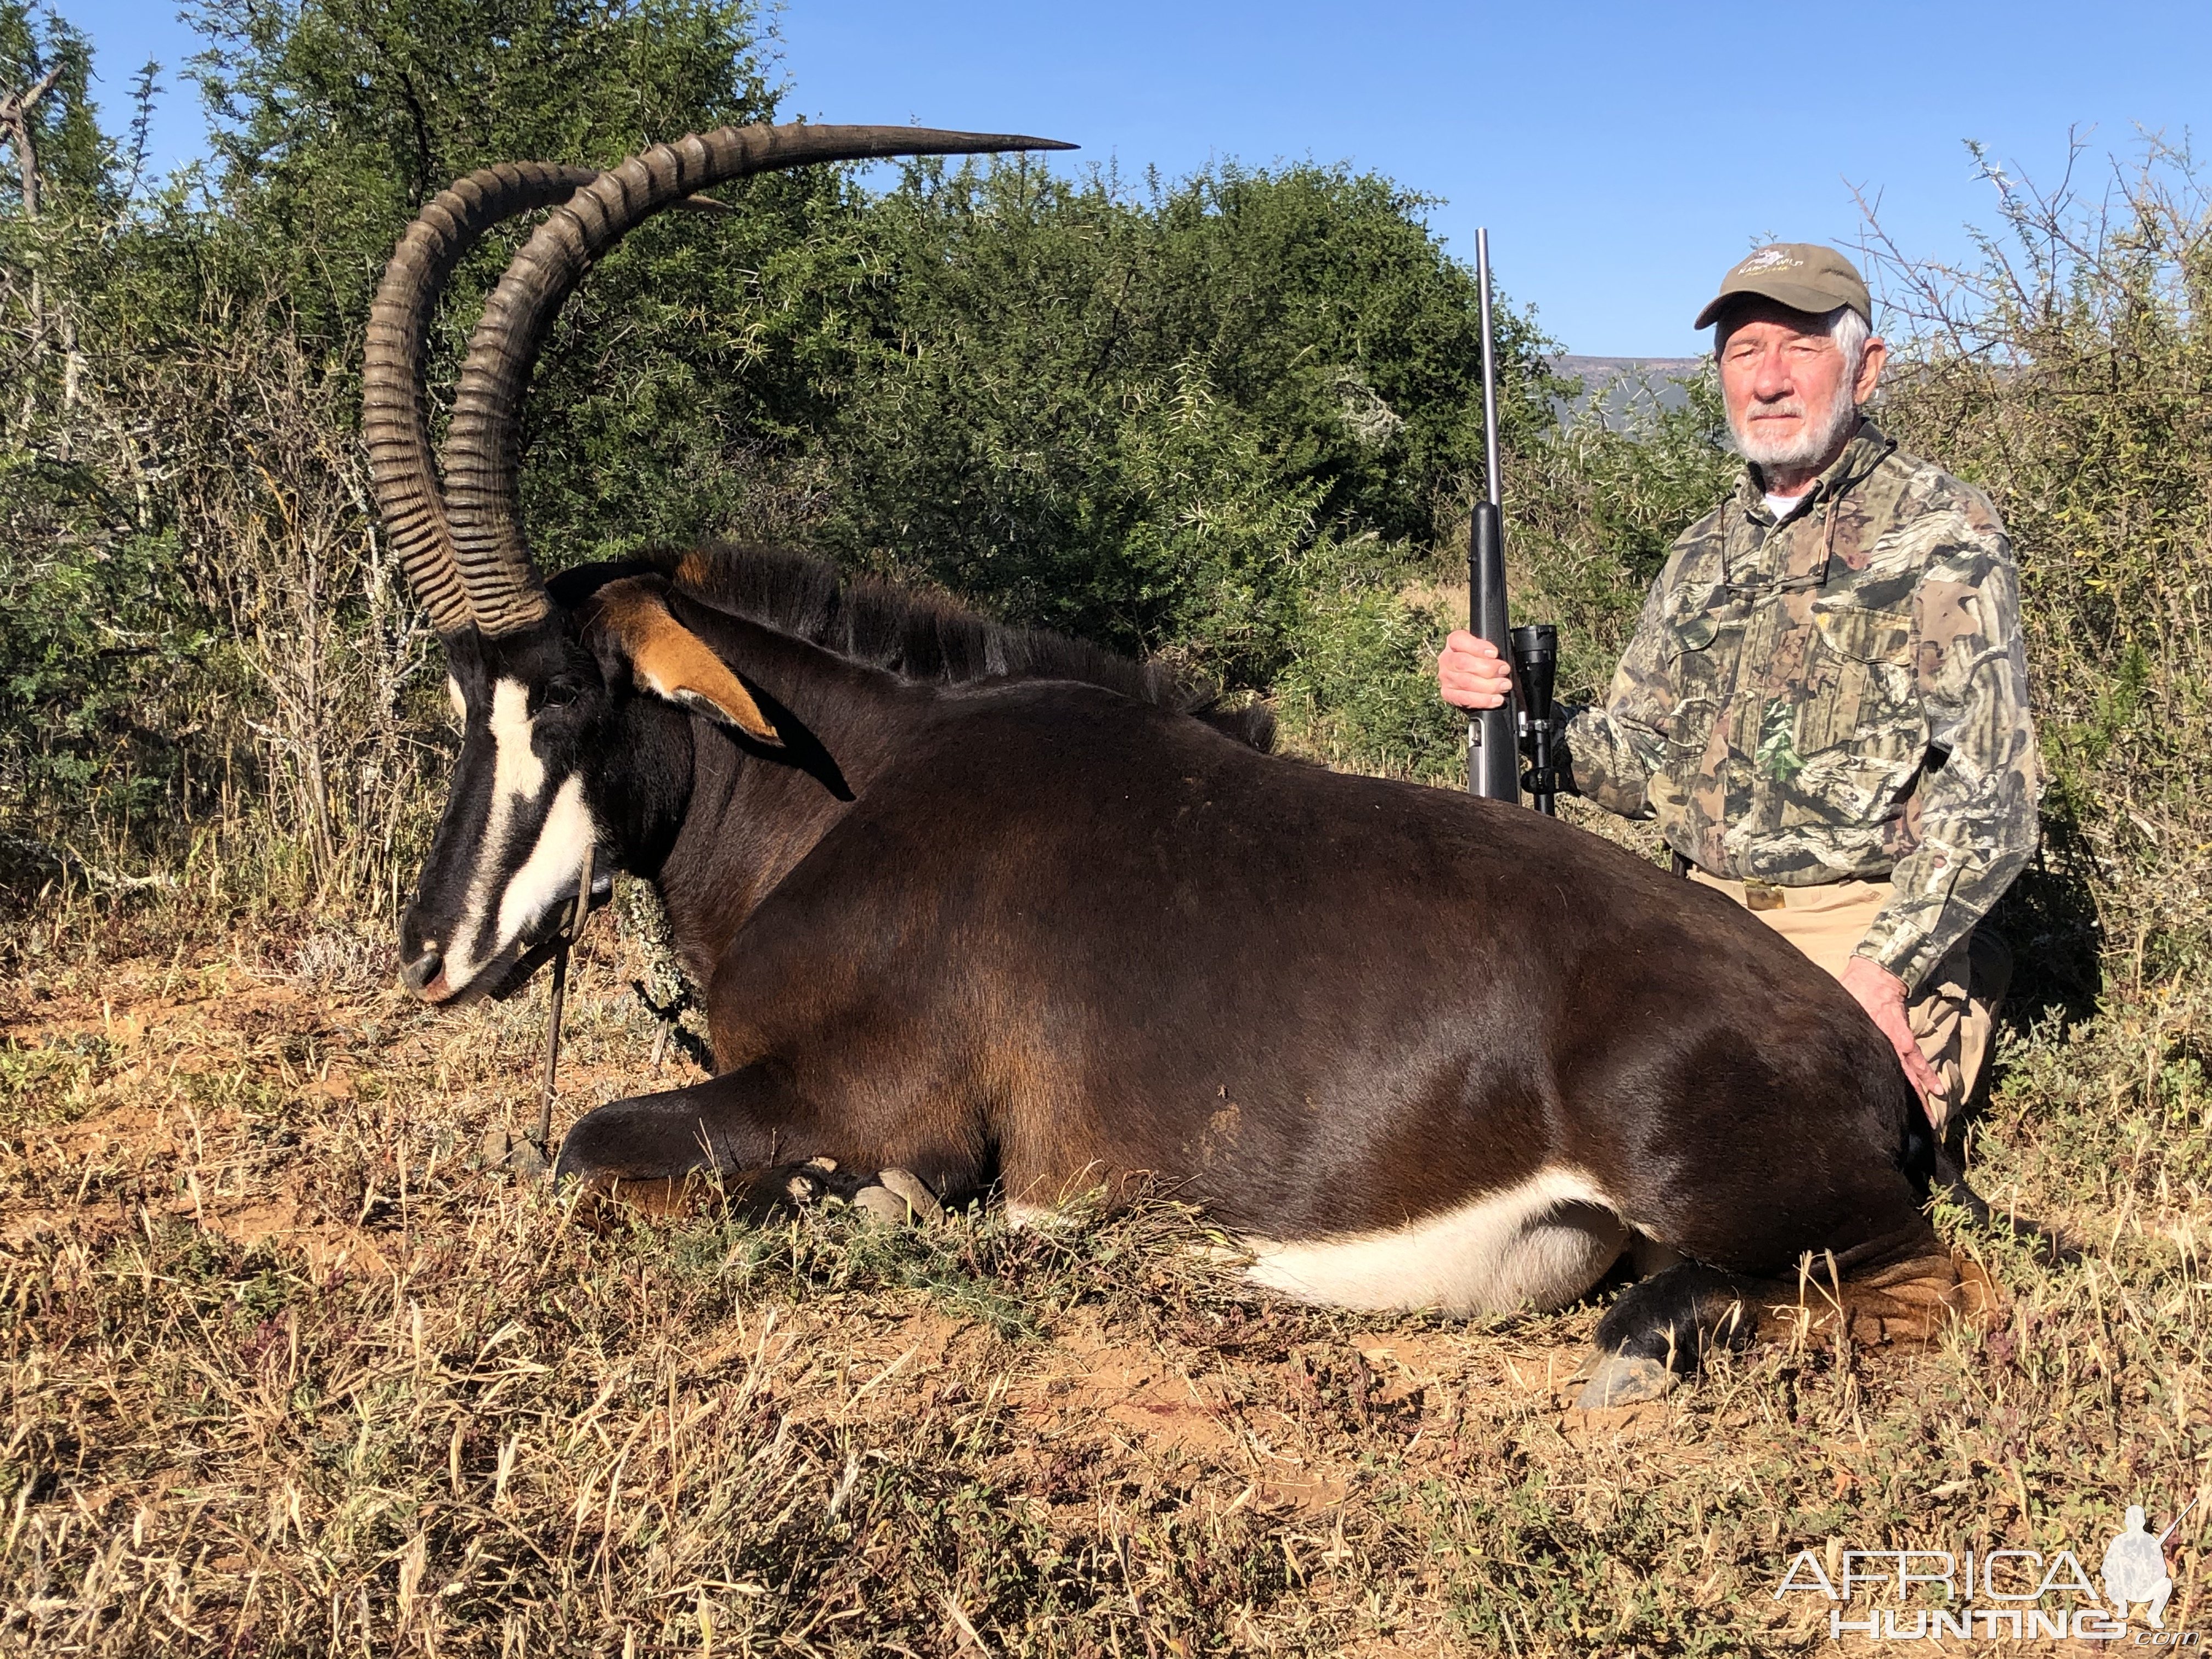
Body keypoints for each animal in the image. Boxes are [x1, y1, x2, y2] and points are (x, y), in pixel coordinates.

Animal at [367, 123, 1973, 1407]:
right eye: (463, 696)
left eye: (566, 705)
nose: (434, 955)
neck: (847, 793)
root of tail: (1866, 1051)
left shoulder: (881, 1111)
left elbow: (582, 1148)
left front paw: (882, 1221)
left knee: (1920, 1286)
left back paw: (1643, 1349)